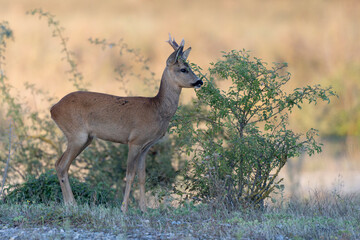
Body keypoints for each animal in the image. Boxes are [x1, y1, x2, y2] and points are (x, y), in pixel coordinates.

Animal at [50, 34, 202, 213]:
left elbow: (142, 176)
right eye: (183, 69)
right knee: (61, 165)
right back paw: (71, 204)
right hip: (76, 135)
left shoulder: (146, 146)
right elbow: (129, 175)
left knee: (60, 164)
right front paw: (124, 208)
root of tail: (53, 109)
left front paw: (144, 208)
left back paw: (70, 204)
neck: (156, 109)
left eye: (190, 66)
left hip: (86, 138)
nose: (199, 81)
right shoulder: (134, 141)